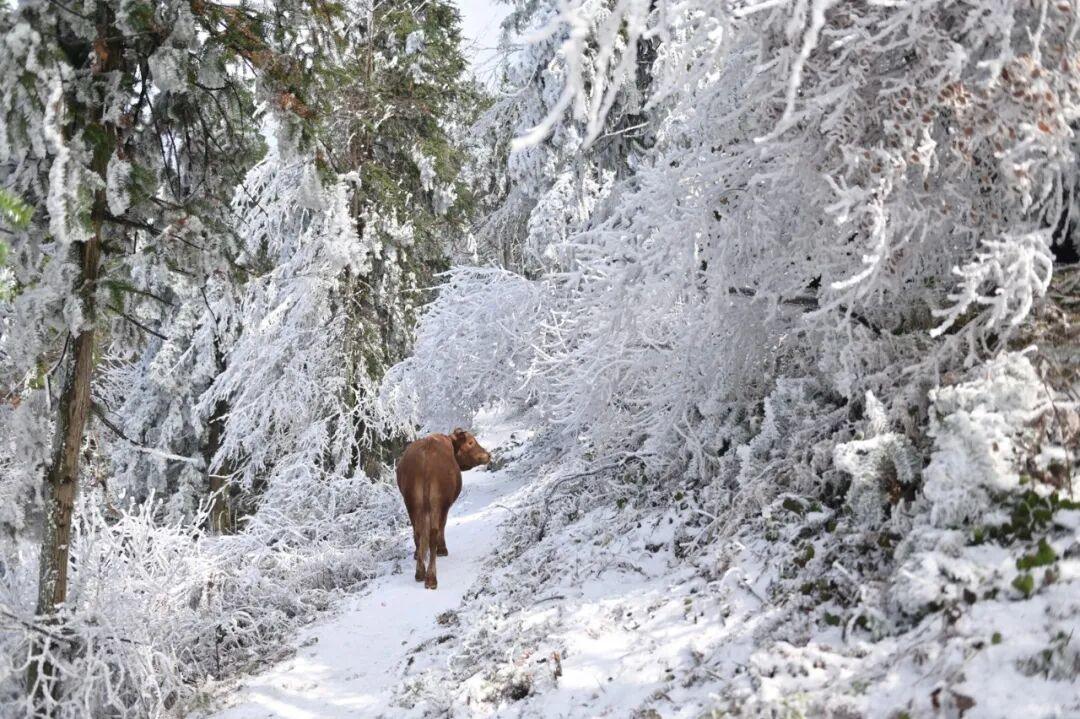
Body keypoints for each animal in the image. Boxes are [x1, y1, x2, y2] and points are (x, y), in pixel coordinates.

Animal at [396, 428, 492, 589]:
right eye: (471, 442)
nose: (488, 454)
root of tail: (426, 455)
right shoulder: (446, 505)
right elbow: (442, 526)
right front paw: (442, 549)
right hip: (438, 502)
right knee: (434, 532)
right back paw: (431, 578)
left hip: (411, 502)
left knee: (418, 532)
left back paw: (420, 572)